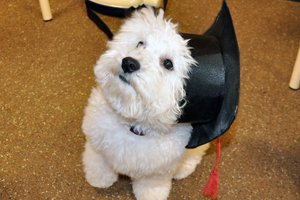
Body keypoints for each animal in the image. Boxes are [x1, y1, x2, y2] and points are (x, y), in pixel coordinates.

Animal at [81, 6, 209, 200]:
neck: (132, 123)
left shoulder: (156, 171)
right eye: (140, 43)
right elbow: (98, 161)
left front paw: (151, 195)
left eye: (168, 63)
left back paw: (183, 169)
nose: (129, 63)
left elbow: (151, 186)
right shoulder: (96, 143)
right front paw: (99, 178)